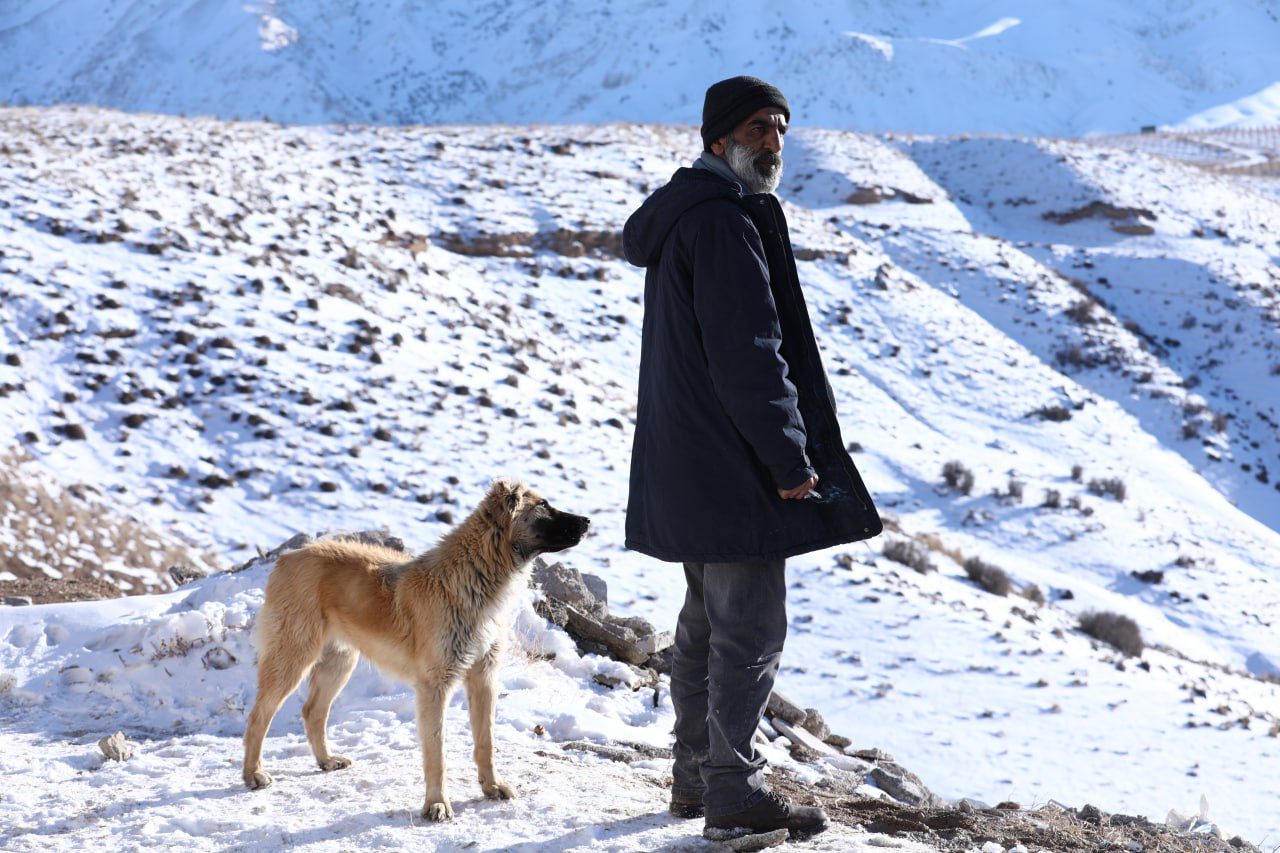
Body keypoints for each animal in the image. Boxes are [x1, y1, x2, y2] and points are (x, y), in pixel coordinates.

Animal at [240, 479, 588, 819]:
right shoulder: (435, 685)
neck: (475, 574)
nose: (586, 521)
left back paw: (326, 760)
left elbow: (485, 742)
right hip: (292, 659)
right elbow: (437, 752)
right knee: (259, 715)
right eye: (543, 505)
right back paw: (253, 774)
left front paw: (492, 787)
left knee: (313, 711)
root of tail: (286, 559)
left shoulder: (483, 678)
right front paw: (437, 804)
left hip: (338, 662)